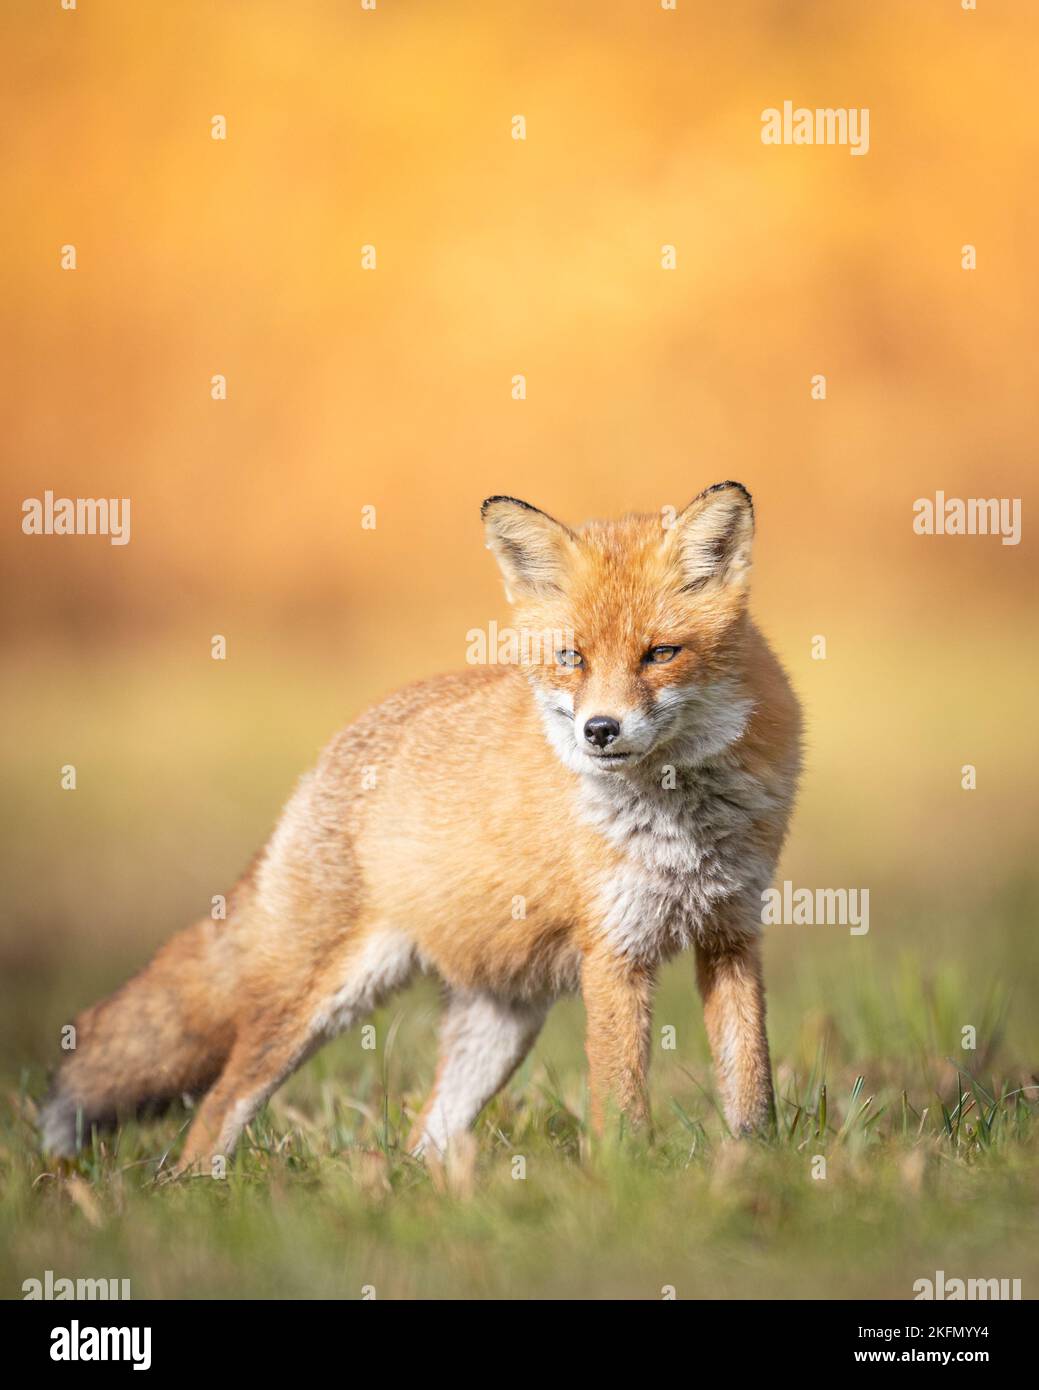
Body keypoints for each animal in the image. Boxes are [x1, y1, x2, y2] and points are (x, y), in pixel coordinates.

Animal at [38, 483, 806, 1167]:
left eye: (659, 654)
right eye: (571, 658)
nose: (600, 730)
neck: (684, 817)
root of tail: (331, 751)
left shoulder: (732, 935)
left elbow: (750, 1085)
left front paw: (755, 1169)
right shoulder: (615, 953)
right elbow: (620, 1102)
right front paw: (628, 1179)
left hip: (501, 1023)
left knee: (421, 1140)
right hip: (315, 1002)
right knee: (219, 1105)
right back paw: (201, 1189)